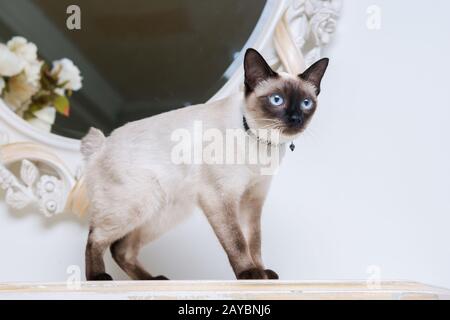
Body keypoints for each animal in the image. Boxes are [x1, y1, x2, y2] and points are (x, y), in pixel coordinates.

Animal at [81, 48, 326, 280]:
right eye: (277, 100)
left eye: (306, 103)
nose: (296, 119)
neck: (262, 144)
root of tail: (102, 143)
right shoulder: (220, 197)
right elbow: (238, 242)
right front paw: (250, 274)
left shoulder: (252, 199)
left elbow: (254, 242)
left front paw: (263, 275)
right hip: (134, 207)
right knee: (96, 237)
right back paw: (98, 278)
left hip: (162, 215)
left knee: (121, 249)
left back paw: (152, 280)